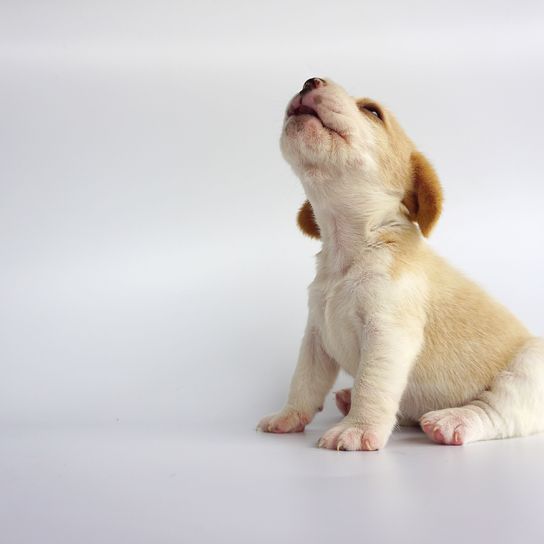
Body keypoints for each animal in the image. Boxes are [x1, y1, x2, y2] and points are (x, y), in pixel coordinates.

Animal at [256, 76, 544, 450]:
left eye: (372, 111)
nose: (310, 81)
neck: (351, 248)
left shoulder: (387, 334)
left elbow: (371, 386)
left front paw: (357, 428)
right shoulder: (316, 337)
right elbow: (304, 381)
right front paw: (288, 416)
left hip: (528, 367)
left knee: (497, 411)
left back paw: (453, 420)